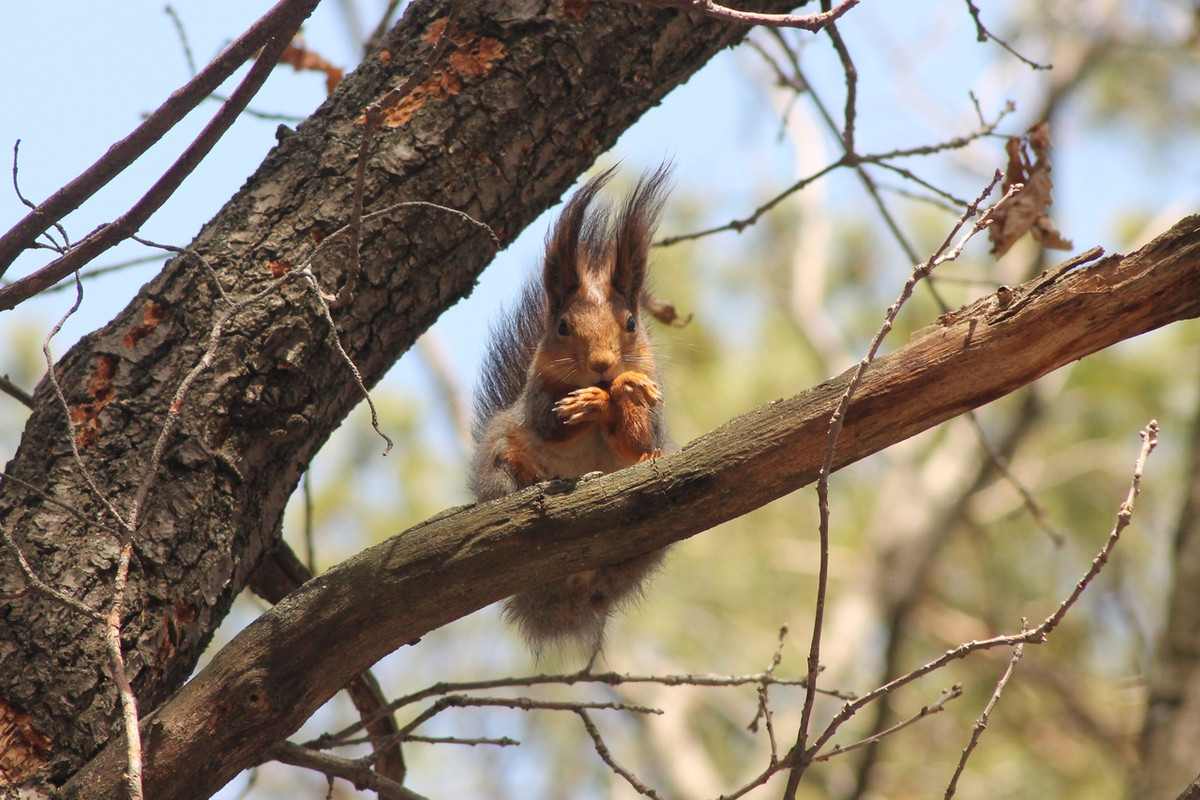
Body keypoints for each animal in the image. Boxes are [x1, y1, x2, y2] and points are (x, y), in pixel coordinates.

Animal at [468, 164, 676, 657]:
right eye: (562, 326)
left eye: (631, 323)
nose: (601, 364)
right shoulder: (537, 397)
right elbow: (550, 423)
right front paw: (592, 401)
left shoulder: (654, 412)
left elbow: (637, 438)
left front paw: (620, 391)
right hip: (502, 458)